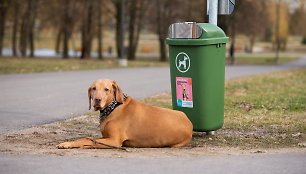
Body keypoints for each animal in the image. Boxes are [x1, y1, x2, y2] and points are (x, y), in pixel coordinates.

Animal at [56, 79, 192, 149]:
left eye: (106, 89)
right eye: (94, 88)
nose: (97, 100)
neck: (113, 107)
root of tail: (189, 123)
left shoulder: (114, 141)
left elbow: (88, 140)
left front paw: (67, 144)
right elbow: (89, 139)